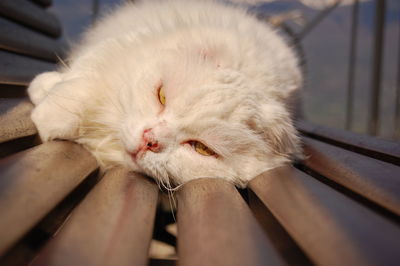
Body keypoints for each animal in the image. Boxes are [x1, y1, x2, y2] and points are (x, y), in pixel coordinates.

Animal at [28, 0, 302, 188]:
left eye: (201, 148)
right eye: (161, 97)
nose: (149, 140)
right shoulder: (123, 47)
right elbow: (79, 89)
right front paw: (44, 102)